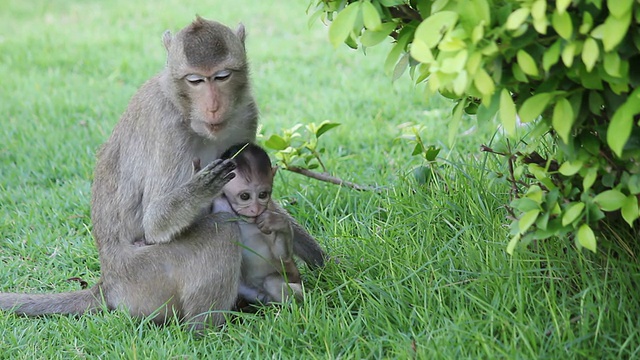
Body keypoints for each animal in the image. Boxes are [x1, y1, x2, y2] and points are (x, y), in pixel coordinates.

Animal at [198, 143, 302, 304]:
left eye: (263, 195)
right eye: (245, 196)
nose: (256, 209)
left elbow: (282, 256)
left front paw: (279, 223)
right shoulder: (220, 203)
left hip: (294, 279)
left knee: (272, 282)